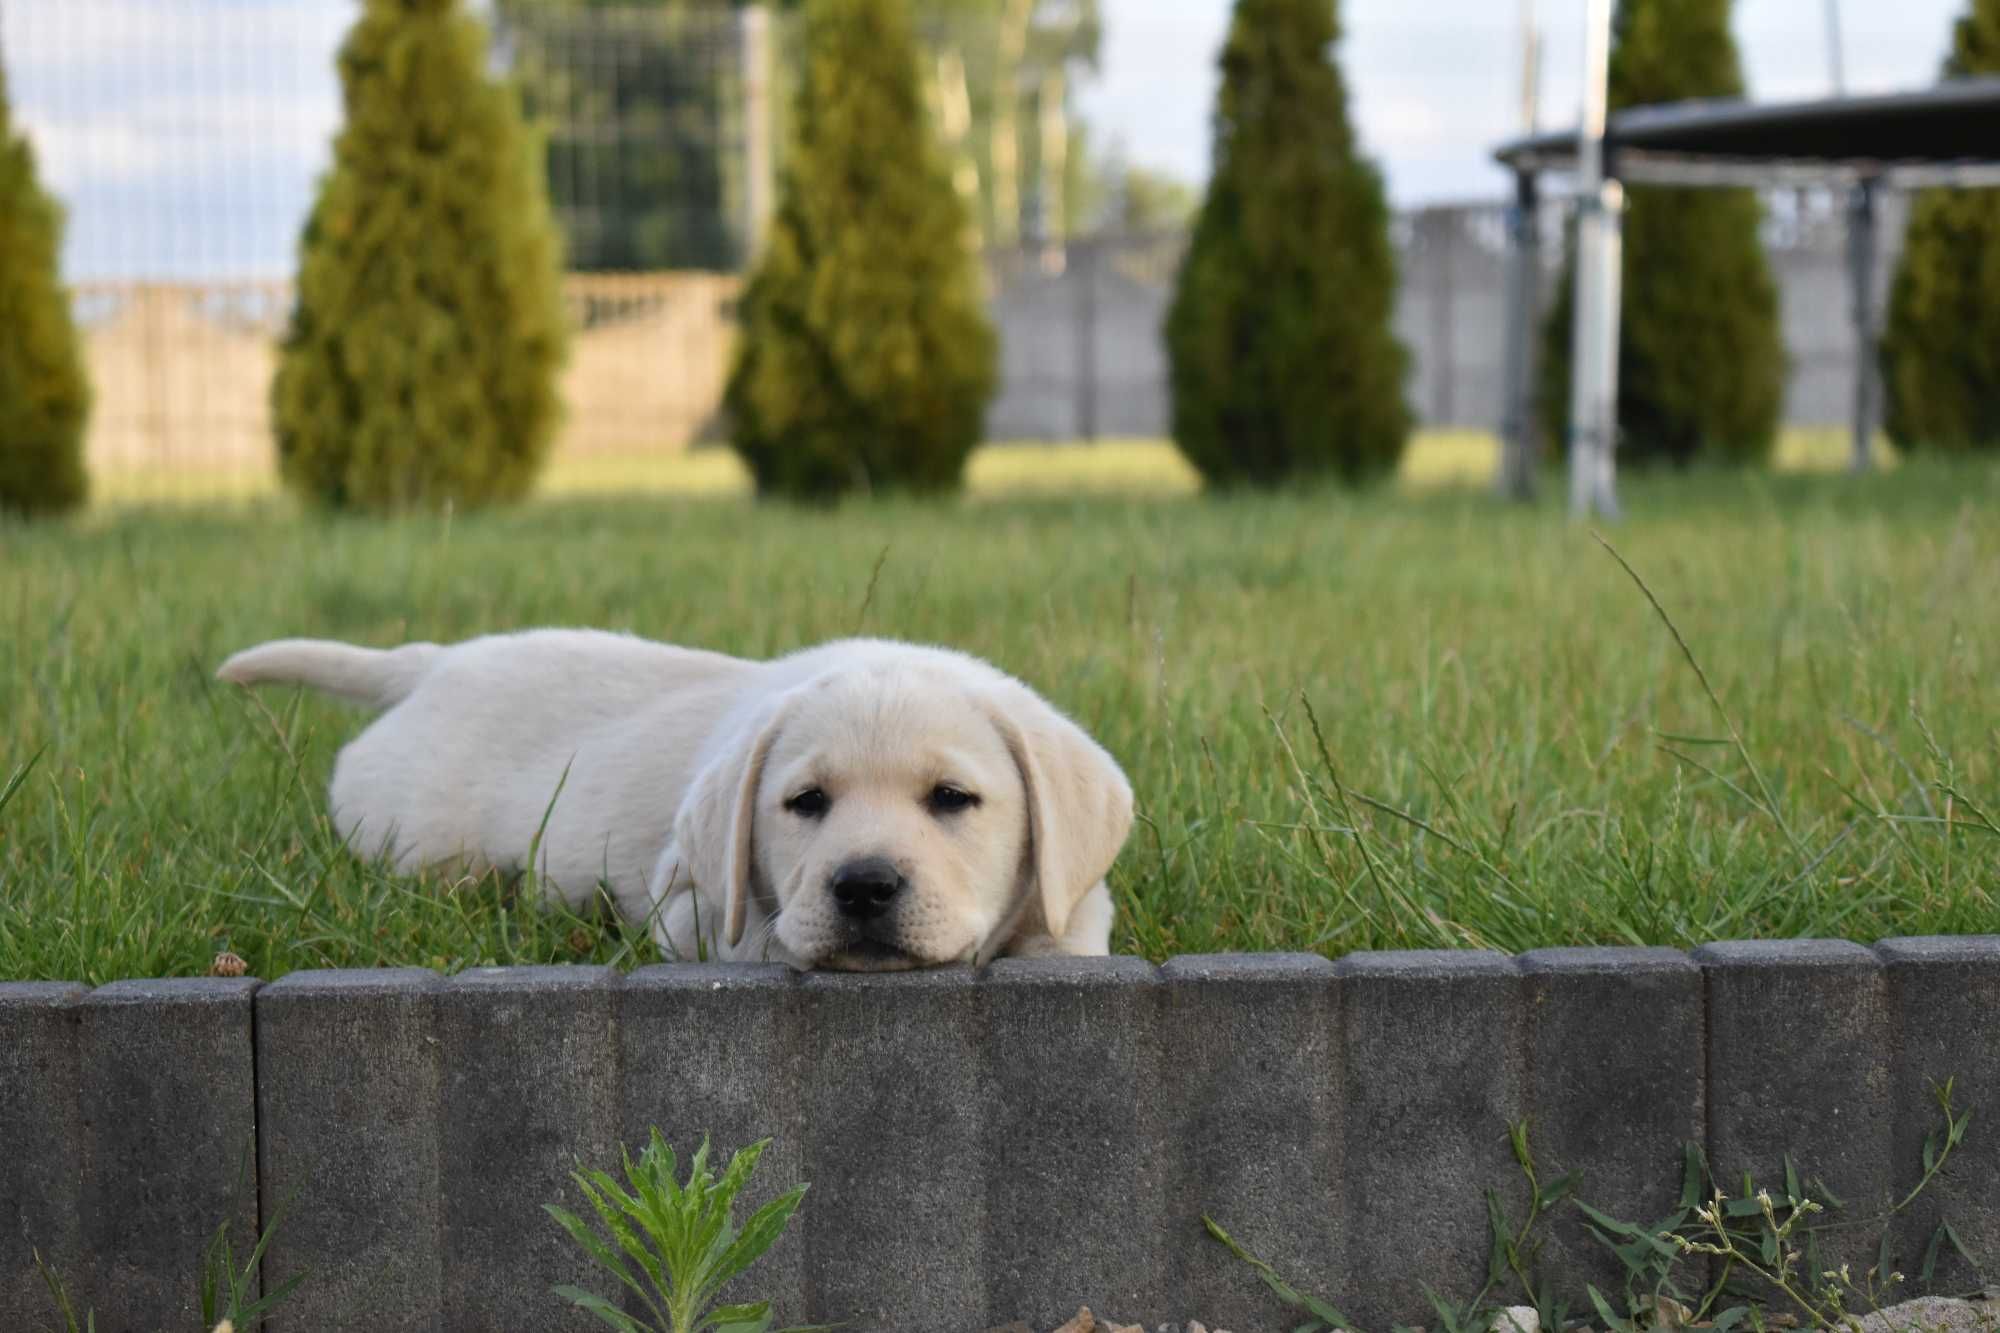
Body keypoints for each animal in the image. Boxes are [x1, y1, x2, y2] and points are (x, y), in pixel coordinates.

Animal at [217, 624, 1136, 964]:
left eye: (952, 797)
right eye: (805, 803)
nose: (864, 885)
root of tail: (435, 661)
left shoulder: (1077, 898)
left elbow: (1064, 934)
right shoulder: (687, 907)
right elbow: (761, 937)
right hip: (419, 837)